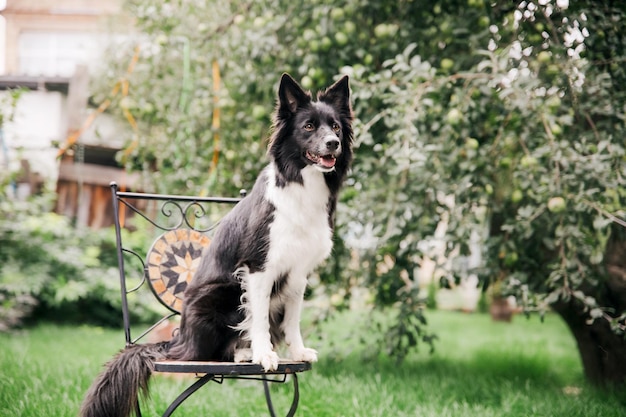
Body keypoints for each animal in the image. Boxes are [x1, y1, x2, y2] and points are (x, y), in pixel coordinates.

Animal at [80, 74, 352, 416]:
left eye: (336, 127)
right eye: (309, 126)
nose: (333, 144)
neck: (301, 185)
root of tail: (178, 342)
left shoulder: (298, 273)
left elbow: (292, 320)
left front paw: (298, 351)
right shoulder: (258, 268)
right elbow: (258, 319)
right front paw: (264, 354)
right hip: (221, 292)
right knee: (212, 350)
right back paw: (242, 353)